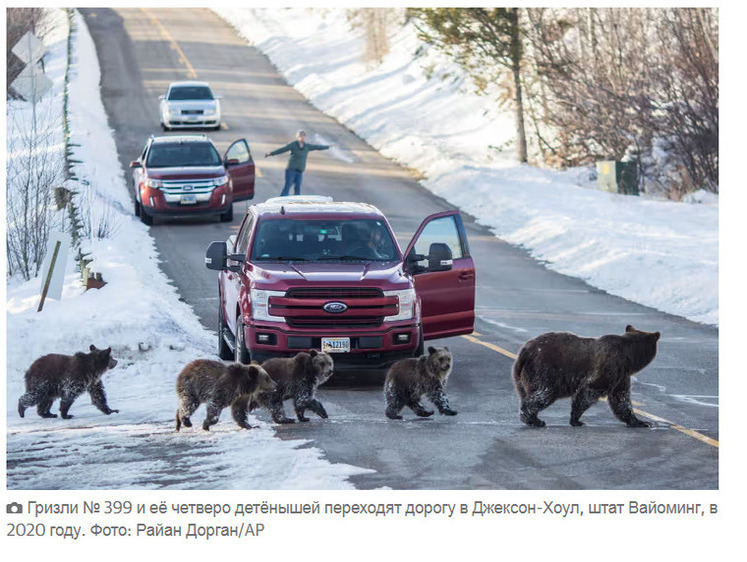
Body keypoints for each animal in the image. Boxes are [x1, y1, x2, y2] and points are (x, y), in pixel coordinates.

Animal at [516, 322, 660, 426]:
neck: (629, 357)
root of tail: (525, 351)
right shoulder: (610, 367)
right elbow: (589, 390)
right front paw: (576, 419)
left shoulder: (621, 376)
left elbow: (621, 399)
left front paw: (639, 421)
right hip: (545, 369)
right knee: (544, 393)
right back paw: (534, 419)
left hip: (522, 376)